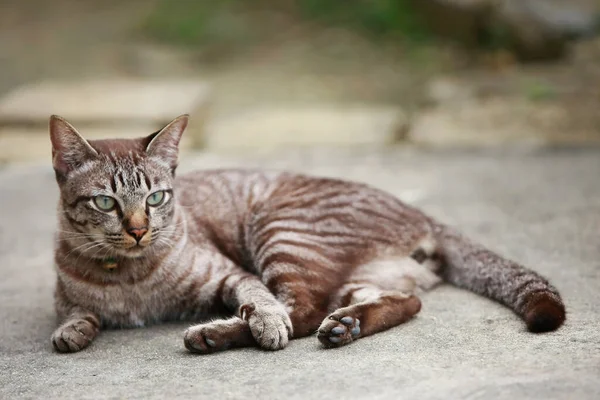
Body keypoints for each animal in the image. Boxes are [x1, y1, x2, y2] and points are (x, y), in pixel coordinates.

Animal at [49, 113, 564, 354]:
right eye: (106, 203)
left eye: (156, 198)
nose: (139, 231)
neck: (129, 276)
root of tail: (418, 210)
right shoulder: (66, 295)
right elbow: (75, 310)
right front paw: (71, 331)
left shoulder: (233, 275)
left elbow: (263, 304)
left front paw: (261, 322)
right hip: (357, 274)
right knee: (406, 302)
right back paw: (347, 325)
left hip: (282, 232)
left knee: (300, 311)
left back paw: (216, 335)